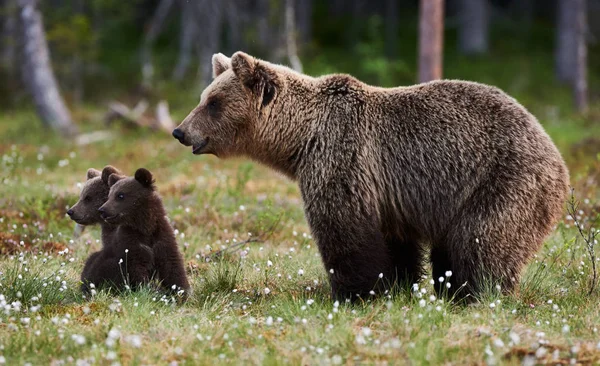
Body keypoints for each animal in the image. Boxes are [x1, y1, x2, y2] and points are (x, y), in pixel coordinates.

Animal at [172, 51, 568, 302]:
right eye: (203, 97)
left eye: (213, 103)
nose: (180, 131)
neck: (300, 140)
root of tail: (555, 153)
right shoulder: (391, 195)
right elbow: (396, 243)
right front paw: (398, 285)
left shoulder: (342, 157)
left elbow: (344, 229)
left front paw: (353, 293)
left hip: (504, 181)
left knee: (480, 241)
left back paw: (476, 293)